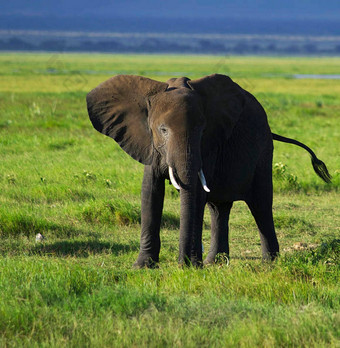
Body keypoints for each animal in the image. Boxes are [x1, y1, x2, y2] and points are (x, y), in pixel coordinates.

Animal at [86, 75, 330, 268]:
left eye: (202, 130)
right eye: (162, 130)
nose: (182, 263)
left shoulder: (209, 144)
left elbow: (196, 194)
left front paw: (191, 266)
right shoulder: (148, 143)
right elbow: (150, 192)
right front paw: (144, 266)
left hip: (263, 150)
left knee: (260, 204)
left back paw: (269, 262)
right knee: (219, 207)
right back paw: (216, 262)